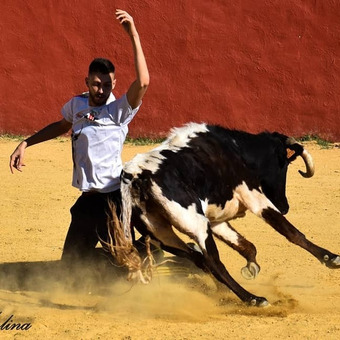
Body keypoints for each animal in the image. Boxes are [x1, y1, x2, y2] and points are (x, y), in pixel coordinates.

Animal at [117, 123, 340, 306]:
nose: (284, 206)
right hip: (195, 223)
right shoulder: (252, 194)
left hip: (161, 233)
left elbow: (246, 245)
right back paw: (253, 299)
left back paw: (225, 291)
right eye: (283, 164)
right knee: (213, 261)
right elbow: (290, 231)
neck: (234, 149)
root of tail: (137, 176)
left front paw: (251, 266)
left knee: (199, 258)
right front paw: (330, 258)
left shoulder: (216, 220)